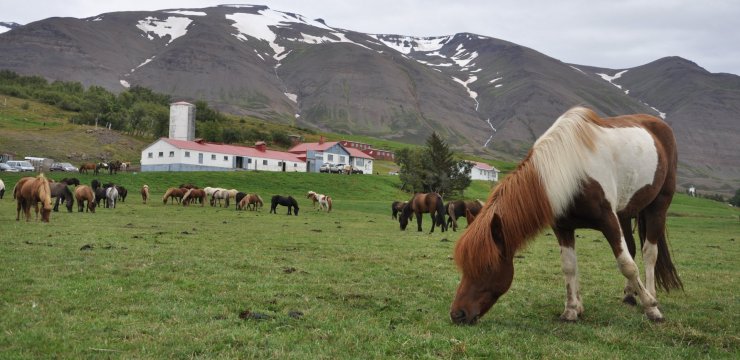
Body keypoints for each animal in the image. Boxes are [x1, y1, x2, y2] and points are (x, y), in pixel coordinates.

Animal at [450, 105, 684, 324]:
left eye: (487, 266)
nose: (457, 314)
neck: (569, 169)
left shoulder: (608, 220)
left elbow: (627, 265)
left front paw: (651, 307)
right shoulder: (563, 227)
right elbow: (569, 266)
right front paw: (572, 309)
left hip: (658, 206)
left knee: (649, 253)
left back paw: (651, 298)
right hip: (626, 211)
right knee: (633, 247)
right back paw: (629, 296)